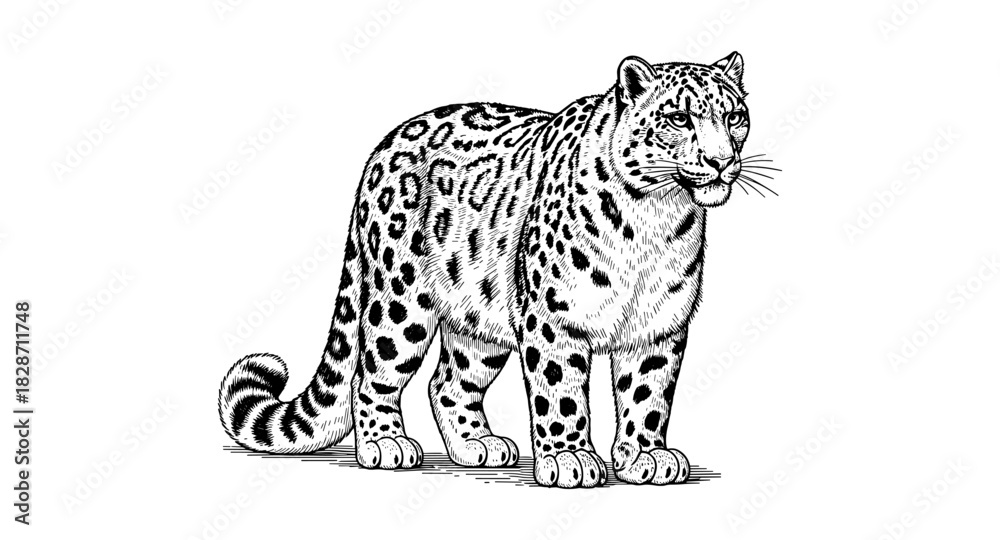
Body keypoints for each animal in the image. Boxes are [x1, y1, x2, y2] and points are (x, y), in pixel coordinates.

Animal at [219, 52, 752, 488]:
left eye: (735, 117)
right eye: (678, 118)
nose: (721, 160)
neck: (654, 219)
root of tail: (382, 149)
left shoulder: (658, 326)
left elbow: (647, 395)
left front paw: (646, 456)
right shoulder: (552, 319)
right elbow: (560, 393)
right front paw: (569, 459)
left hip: (477, 315)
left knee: (447, 383)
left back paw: (478, 445)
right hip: (400, 304)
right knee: (372, 374)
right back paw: (385, 444)